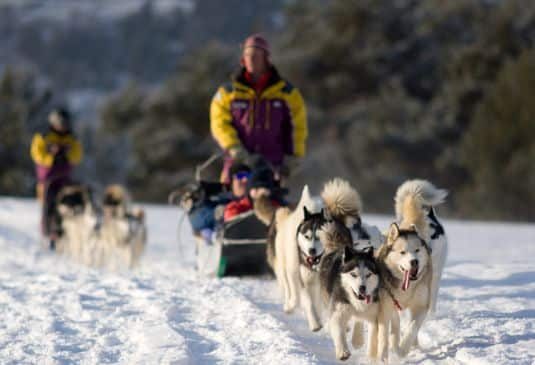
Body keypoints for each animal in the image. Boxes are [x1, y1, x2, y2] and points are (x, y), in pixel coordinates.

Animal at [268, 186, 326, 332]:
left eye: (320, 237)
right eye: (307, 236)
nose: (312, 250)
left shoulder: (318, 281)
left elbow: (317, 303)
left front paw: (317, 319)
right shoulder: (298, 276)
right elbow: (305, 300)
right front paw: (314, 323)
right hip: (285, 268)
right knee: (289, 289)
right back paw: (289, 305)